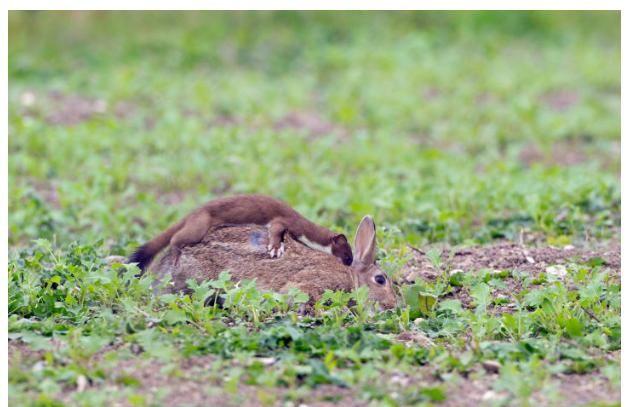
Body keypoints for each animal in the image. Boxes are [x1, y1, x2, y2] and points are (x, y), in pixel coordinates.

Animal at [128, 194, 352, 270]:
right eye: (348, 254)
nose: (350, 263)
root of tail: (193, 211)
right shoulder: (286, 220)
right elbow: (276, 229)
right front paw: (275, 248)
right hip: (200, 224)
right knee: (175, 238)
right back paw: (176, 254)